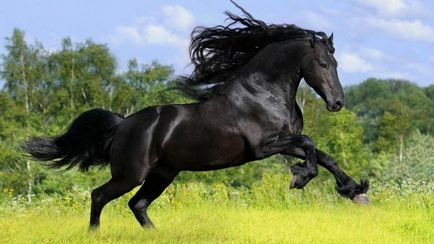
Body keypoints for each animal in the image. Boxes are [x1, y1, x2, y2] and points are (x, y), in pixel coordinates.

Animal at [23, 1, 368, 229]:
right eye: (322, 64)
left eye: (336, 63)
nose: (337, 103)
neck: (263, 93)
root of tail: (122, 124)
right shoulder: (263, 147)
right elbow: (310, 145)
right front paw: (300, 178)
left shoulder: (284, 140)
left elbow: (323, 155)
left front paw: (355, 191)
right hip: (130, 174)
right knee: (99, 196)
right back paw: (94, 234)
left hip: (162, 174)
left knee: (137, 204)